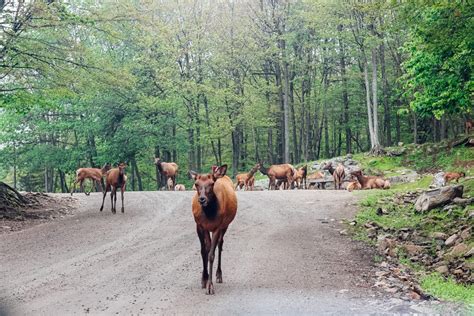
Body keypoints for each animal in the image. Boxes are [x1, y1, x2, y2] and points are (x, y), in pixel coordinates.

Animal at [191, 164, 239, 296]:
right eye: (196, 183)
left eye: (212, 183)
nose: (202, 199)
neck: (209, 214)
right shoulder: (200, 226)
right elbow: (204, 251)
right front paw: (204, 279)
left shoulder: (217, 226)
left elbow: (211, 255)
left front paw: (210, 286)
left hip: (225, 225)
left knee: (220, 245)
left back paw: (219, 275)